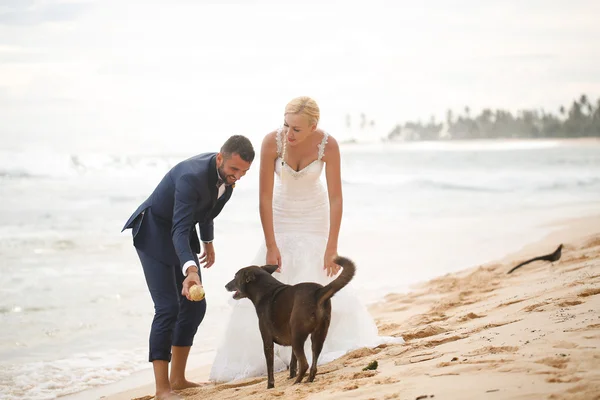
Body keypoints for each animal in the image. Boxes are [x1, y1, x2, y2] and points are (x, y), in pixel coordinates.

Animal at [225, 255, 356, 390]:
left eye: (235, 277)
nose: (226, 285)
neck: (265, 290)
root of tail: (318, 292)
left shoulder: (267, 340)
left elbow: (270, 367)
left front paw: (270, 385)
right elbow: (293, 362)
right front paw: (291, 375)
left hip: (297, 335)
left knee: (304, 364)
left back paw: (297, 382)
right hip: (319, 334)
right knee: (313, 363)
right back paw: (307, 379)